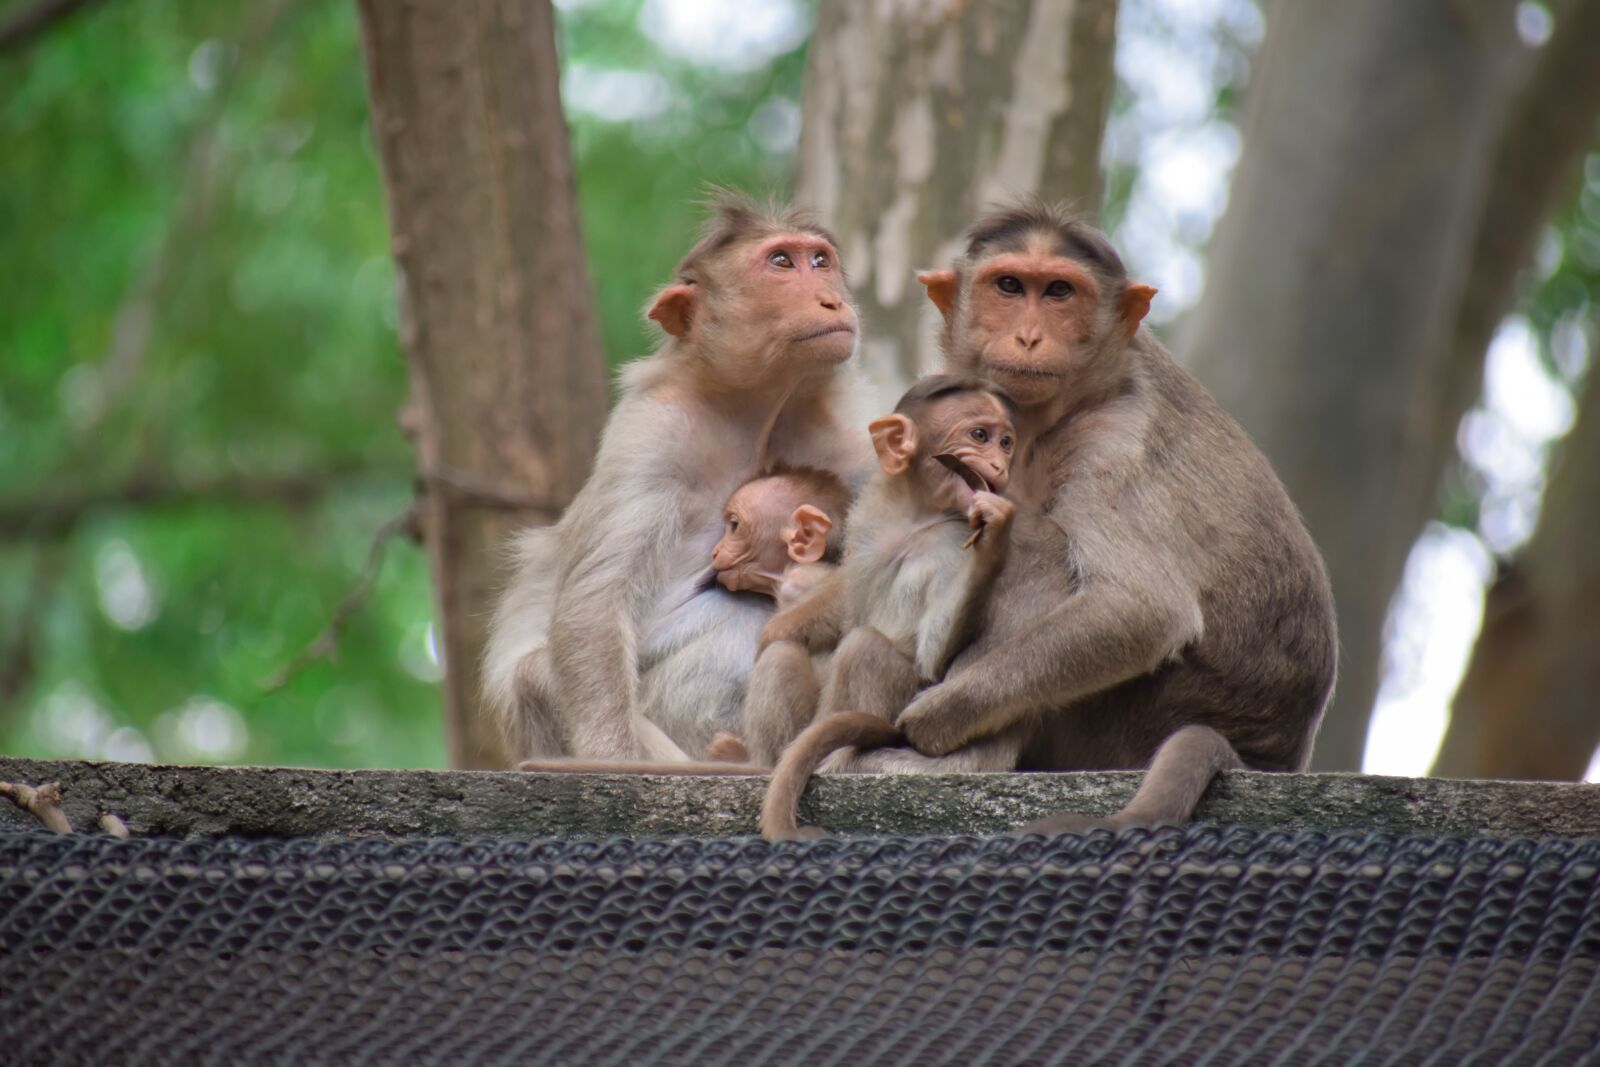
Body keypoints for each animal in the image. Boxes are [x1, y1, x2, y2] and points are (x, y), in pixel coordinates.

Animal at [482, 191, 875, 767]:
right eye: (782, 262)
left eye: (820, 261)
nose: (831, 300)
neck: (758, 411)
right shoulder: (654, 431)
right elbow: (595, 601)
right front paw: (614, 758)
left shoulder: (849, 442)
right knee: (538, 672)